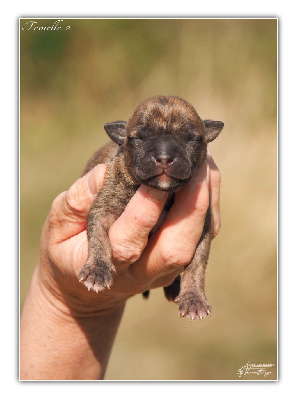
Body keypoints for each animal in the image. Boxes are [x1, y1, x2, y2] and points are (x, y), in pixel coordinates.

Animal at [79, 95, 224, 320]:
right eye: (139, 138)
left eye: (190, 139)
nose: (164, 158)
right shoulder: (103, 207)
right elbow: (98, 238)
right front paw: (97, 270)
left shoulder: (203, 230)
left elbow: (197, 265)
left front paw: (194, 298)